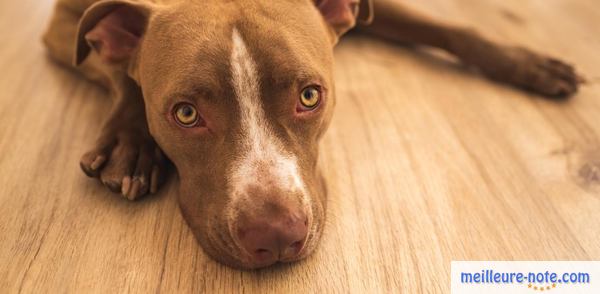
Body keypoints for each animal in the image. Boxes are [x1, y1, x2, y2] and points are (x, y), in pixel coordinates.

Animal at [42, 0, 580, 268]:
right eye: (186, 114)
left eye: (309, 96)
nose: (276, 235)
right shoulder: (64, 23)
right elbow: (119, 68)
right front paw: (131, 146)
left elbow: (444, 26)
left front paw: (526, 62)